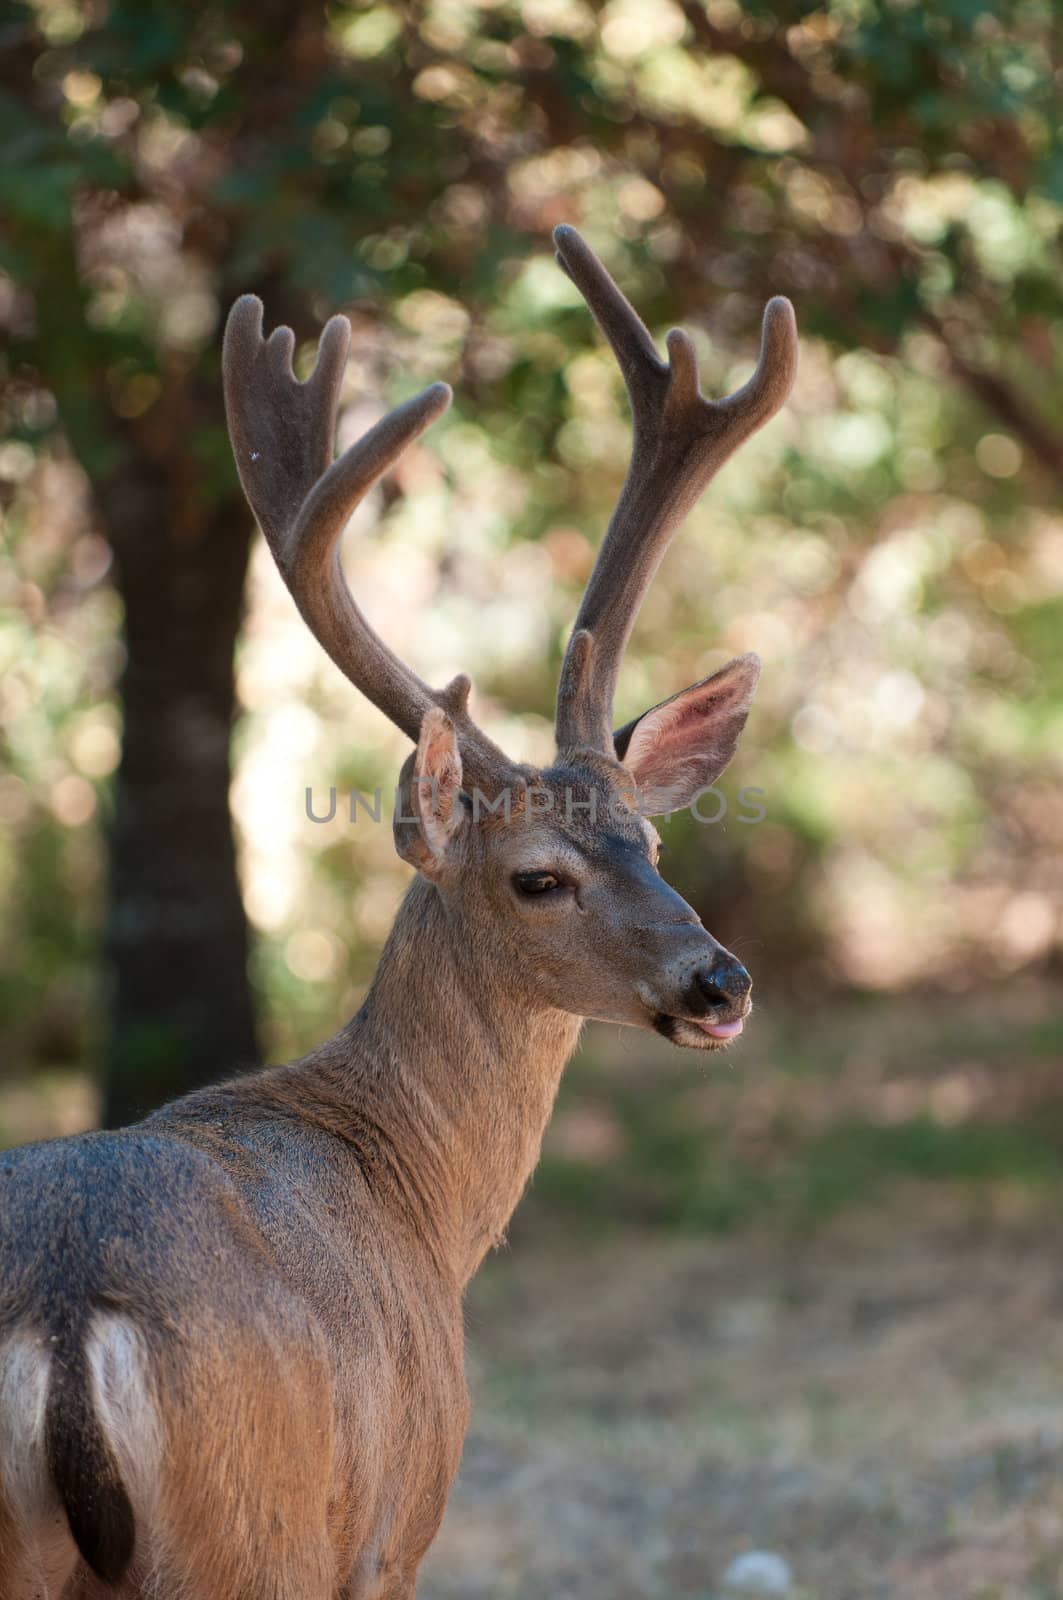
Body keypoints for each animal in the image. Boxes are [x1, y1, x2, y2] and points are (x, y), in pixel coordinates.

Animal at [0, 228, 794, 1600]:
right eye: (537, 876)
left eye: (649, 840)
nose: (719, 981)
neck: (424, 1204)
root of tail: (60, 1310)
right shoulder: (394, 1526)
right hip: (249, 1531)